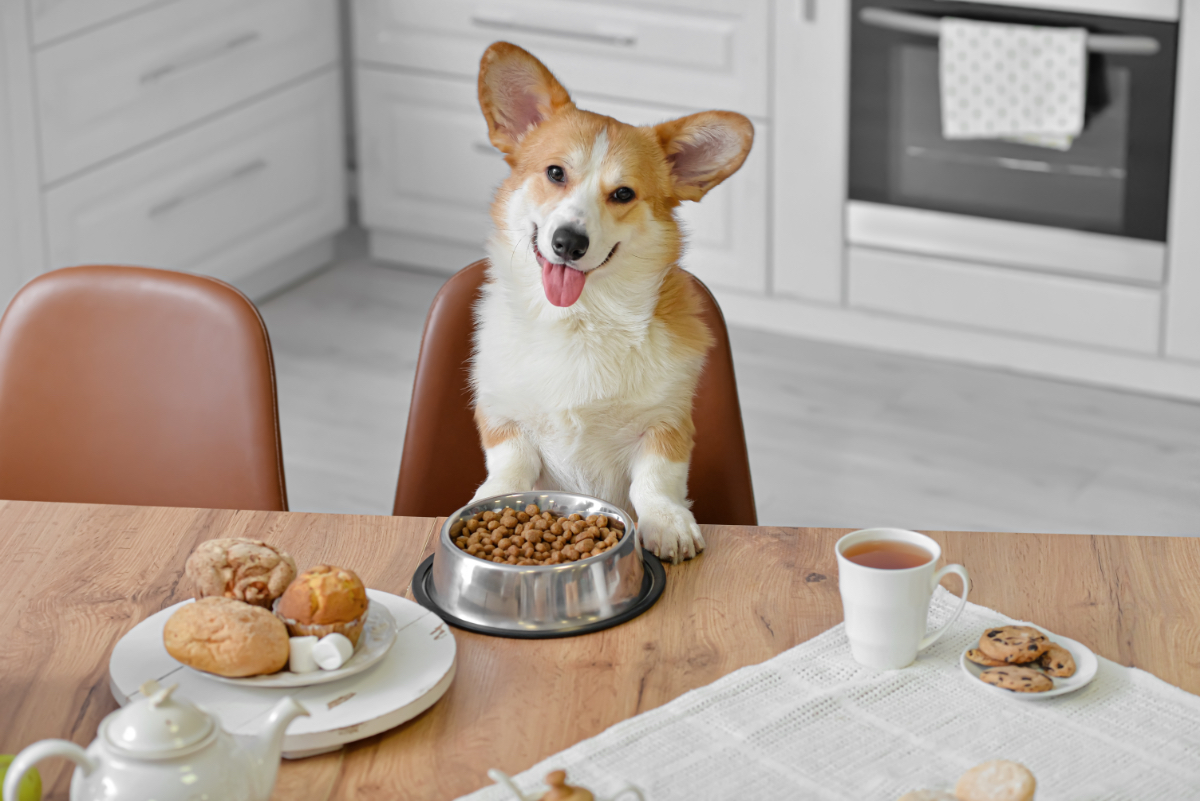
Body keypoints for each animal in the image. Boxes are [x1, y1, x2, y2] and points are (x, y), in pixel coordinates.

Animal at [465, 42, 748, 563]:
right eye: (556, 172)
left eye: (623, 193)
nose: (569, 242)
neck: (579, 320)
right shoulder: (503, 418)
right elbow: (509, 466)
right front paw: (486, 498)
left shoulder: (666, 424)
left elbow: (655, 482)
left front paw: (667, 524)